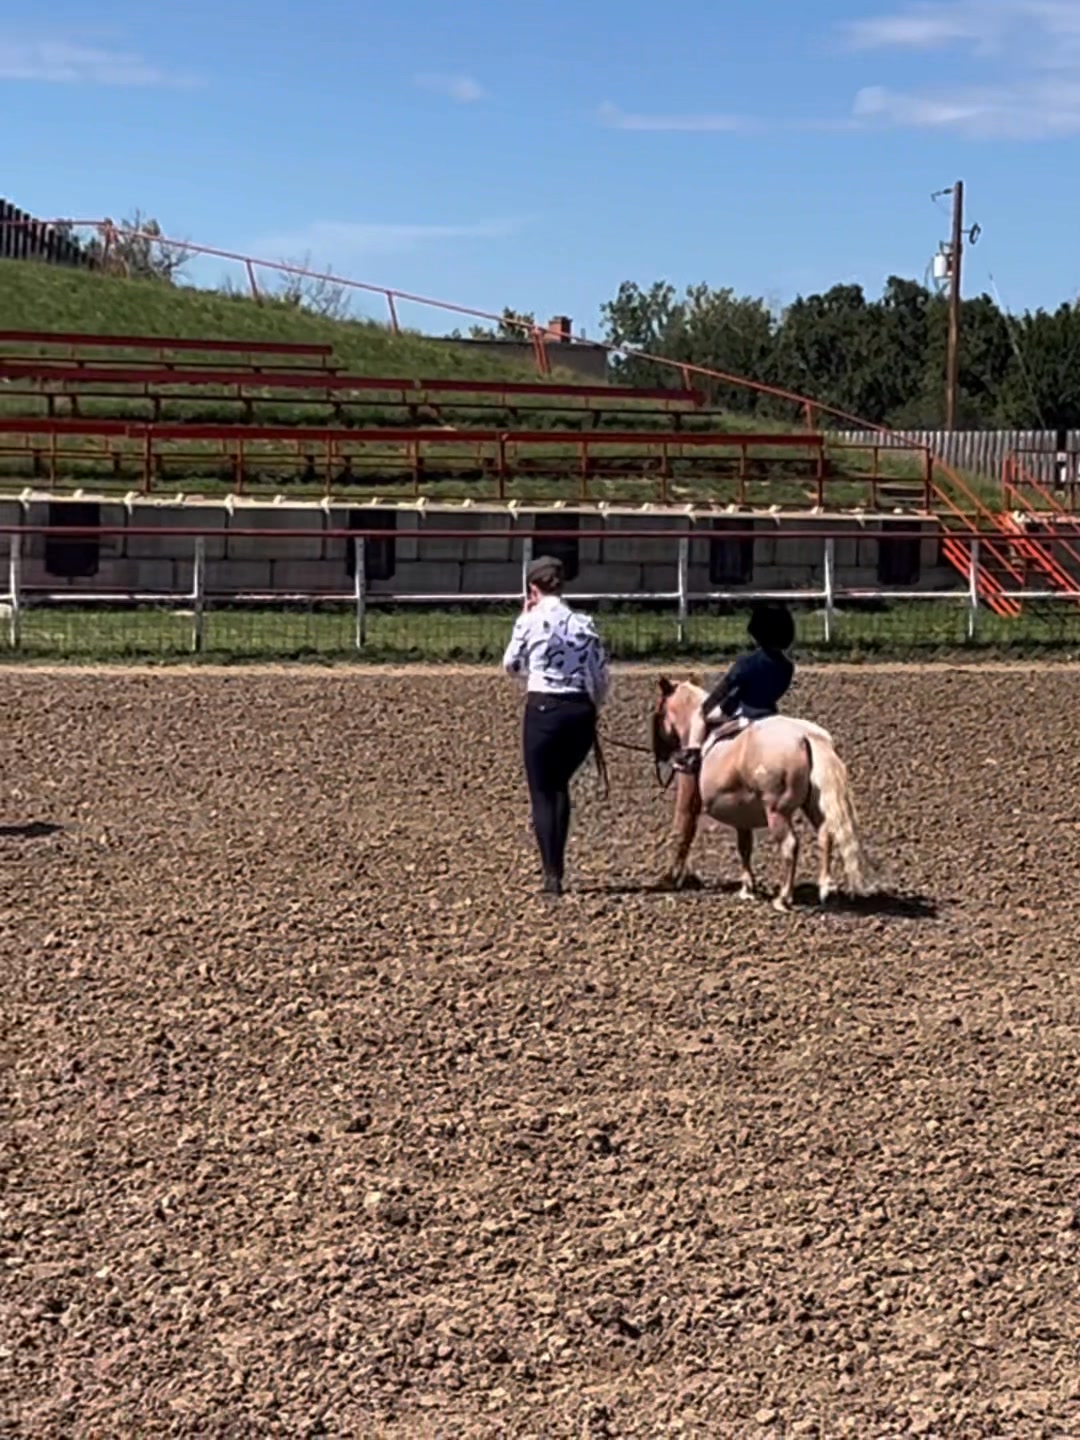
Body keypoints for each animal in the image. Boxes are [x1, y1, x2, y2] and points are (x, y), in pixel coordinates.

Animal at [651, 677, 873, 911]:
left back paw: (783, 898)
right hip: (814, 806)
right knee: (825, 835)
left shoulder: (689, 801)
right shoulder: (741, 816)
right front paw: (747, 888)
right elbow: (745, 847)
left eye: (658, 711)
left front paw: (671, 878)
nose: (663, 755)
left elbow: (682, 833)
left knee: (790, 846)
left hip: (777, 813)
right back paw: (825, 890)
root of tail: (805, 736)